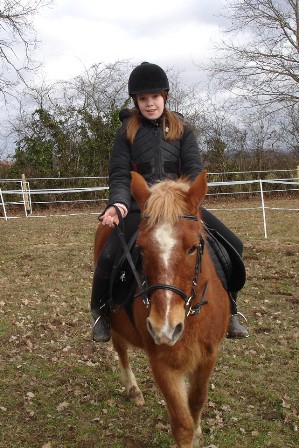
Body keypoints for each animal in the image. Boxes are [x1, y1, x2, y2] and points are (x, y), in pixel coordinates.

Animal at [95, 170, 231, 446]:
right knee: (121, 348)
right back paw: (133, 389)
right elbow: (181, 424)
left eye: (193, 247)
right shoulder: (161, 363)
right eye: (141, 248)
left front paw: (199, 433)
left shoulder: (209, 355)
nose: (164, 328)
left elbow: (196, 402)